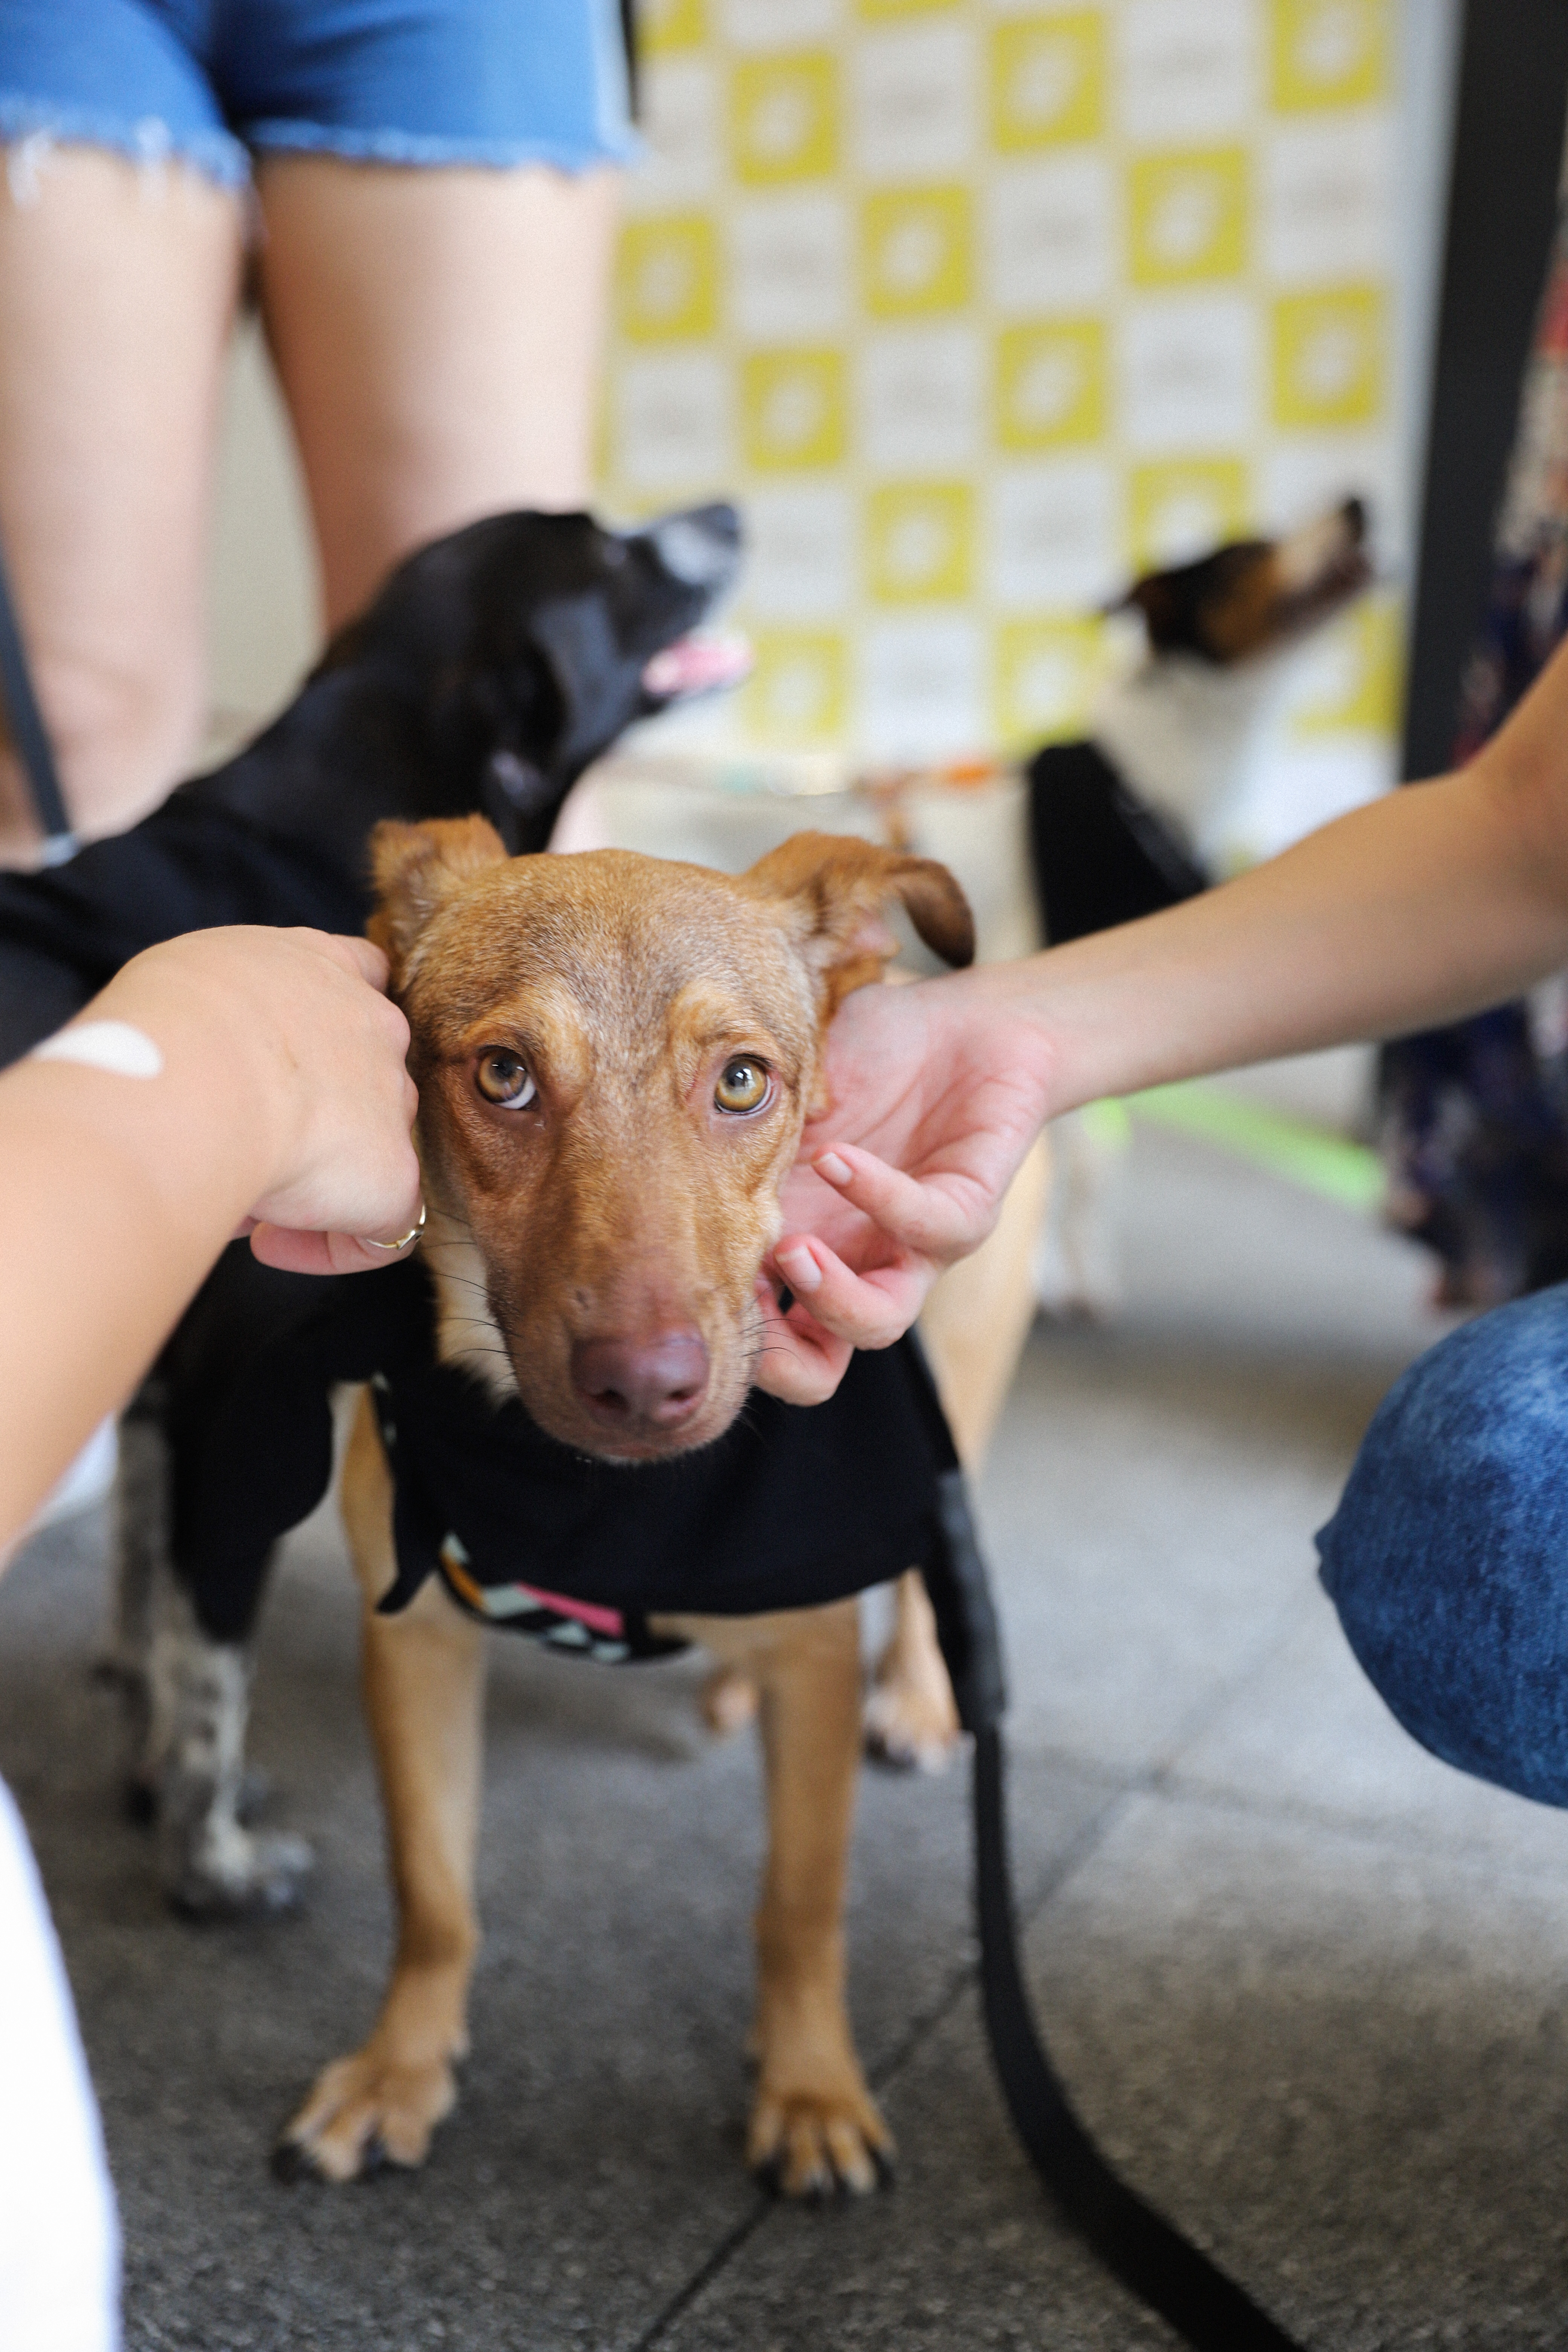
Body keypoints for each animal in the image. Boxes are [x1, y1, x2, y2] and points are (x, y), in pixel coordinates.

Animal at [276, 818, 973, 2192]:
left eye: (743, 1083)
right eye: (503, 1075)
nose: (645, 1388)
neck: (599, 1506)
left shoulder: (818, 1643)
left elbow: (801, 1902)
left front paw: (811, 2088)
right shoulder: (414, 1631)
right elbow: (433, 1895)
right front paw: (401, 2070)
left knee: (932, 1573)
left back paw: (919, 1697)